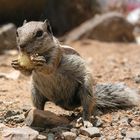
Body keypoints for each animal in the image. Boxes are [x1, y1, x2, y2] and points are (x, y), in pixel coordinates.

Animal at [11, 20, 139, 127]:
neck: (41, 53)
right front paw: (16, 64)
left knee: (87, 108)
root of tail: (66, 104)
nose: (21, 46)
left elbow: (50, 68)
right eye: (17, 32)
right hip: (35, 91)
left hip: (86, 89)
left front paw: (41, 62)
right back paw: (27, 114)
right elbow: (27, 73)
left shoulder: (56, 54)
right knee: (38, 107)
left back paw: (85, 120)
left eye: (39, 33)